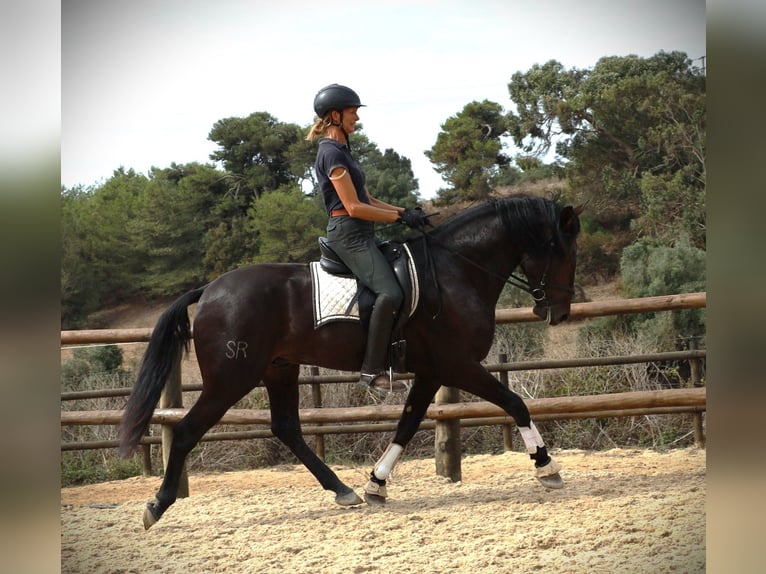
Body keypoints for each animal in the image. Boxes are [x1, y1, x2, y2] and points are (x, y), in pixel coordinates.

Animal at [120, 195, 584, 532]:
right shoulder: (459, 365)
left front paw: (376, 484)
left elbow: (408, 423)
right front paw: (546, 466)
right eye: (562, 251)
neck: (456, 270)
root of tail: (211, 289)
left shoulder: (433, 371)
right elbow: (514, 403)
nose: (559, 313)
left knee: (287, 428)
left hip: (279, 369)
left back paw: (343, 490)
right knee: (186, 432)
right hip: (231, 379)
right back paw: (156, 506)